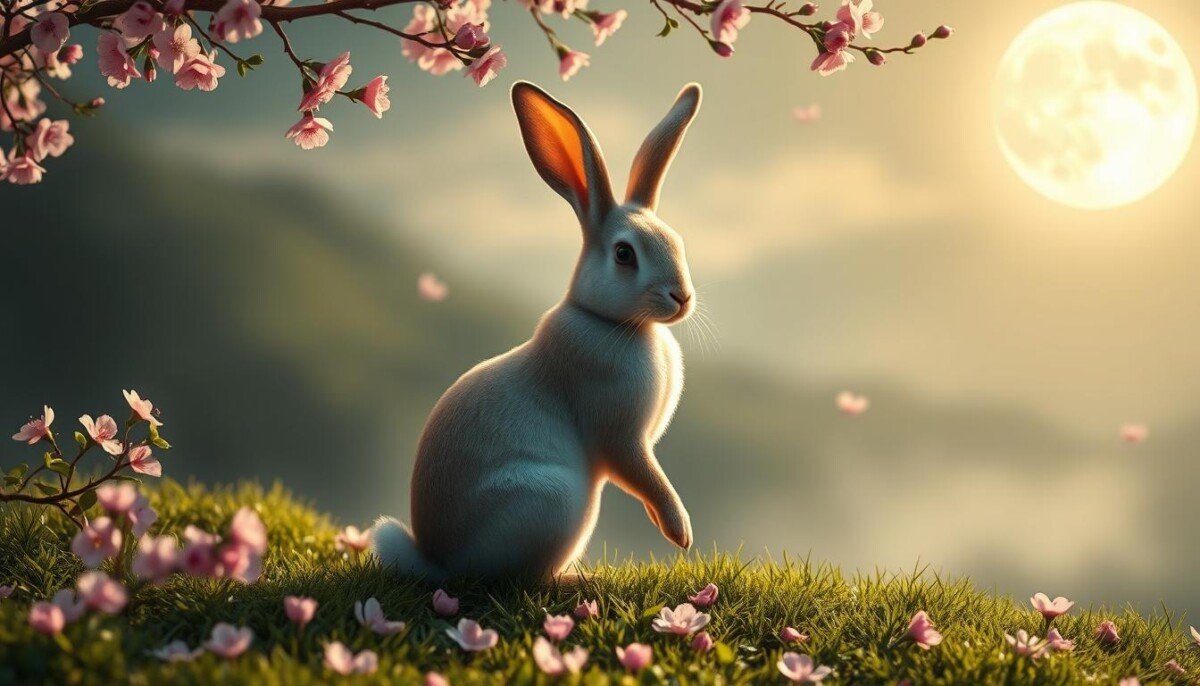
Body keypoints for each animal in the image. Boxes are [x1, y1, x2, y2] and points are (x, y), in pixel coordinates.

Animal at [373, 80, 702, 581]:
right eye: (624, 254)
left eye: (678, 242)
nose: (681, 297)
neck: (610, 321)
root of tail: (442, 563)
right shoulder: (621, 436)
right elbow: (645, 475)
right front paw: (679, 532)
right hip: (550, 498)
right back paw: (574, 580)